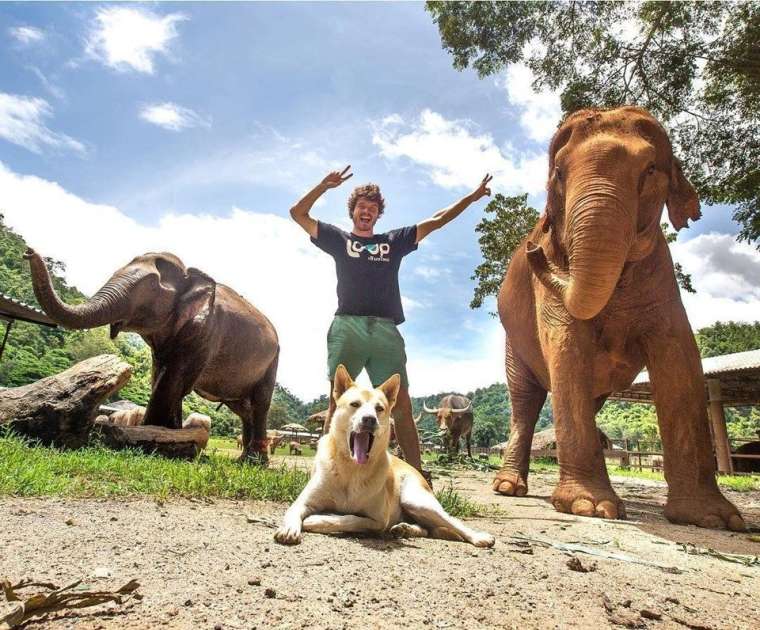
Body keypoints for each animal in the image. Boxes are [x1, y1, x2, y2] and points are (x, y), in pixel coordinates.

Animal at [23, 248, 280, 464]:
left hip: (272, 362)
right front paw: (169, 433)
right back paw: (244, 459)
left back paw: (255, 463)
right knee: (243, 409)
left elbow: (173, 382)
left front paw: (157, 438)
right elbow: (160, 377)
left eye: (151, 287)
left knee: (260, 404)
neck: (190, 274)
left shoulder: (204, 333)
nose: (29, 252)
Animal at [276, 366, 496, 548]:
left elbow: (349, 519)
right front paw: (289, 528)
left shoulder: (378, 520)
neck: (352, 469)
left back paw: (479, 537)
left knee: (452, 522)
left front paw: (317, 519)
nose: (369, 419)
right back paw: (405, 528)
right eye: (355, 404)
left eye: (379, 408)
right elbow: (293, 510)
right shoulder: (303, 502)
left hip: (417, 501)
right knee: (425, 528)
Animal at [492, 106, 744, 532]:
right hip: (513, 342)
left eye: (651, 169)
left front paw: (713, 519)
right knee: (524, 399)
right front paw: (589, 508)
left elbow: (680, 360)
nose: (533, 249)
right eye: (558, 172)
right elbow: (567, 346)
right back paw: (508, 488)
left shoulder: (661, 275)